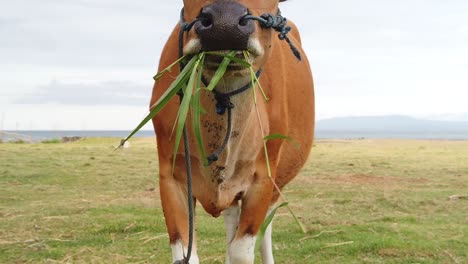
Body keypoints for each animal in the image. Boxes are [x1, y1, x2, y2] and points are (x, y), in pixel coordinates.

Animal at [152, 1, 316, 262]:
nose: (225, 23)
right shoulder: (170, 176)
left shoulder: (263, 178)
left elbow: (242, 252)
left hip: (277, 184)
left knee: (265, 229)